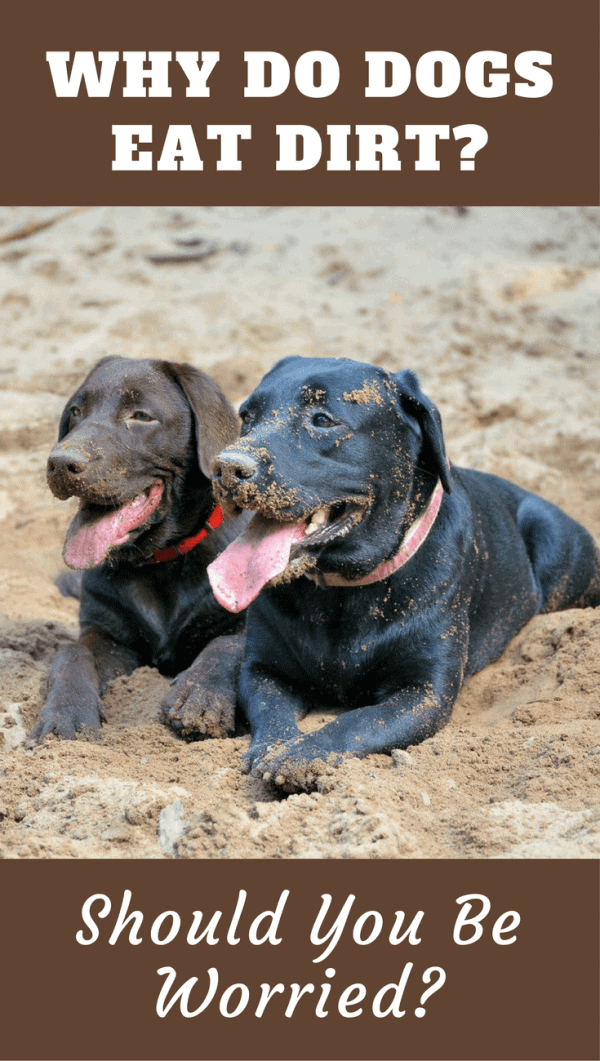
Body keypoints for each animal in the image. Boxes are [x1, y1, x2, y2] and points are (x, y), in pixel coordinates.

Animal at [31, 356, 248, 746]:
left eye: (141, 416)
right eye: (76, 411)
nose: (60, 462)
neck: (161, 563)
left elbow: (228, 645)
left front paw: (200, 697)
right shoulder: (108, 635)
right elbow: (71, 651)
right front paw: (66, 715)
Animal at [208, 356, 600, 789]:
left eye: (323, 420)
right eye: (247, 417)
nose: (226, 468)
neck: (342, 591)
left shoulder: (424, 691)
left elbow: (358, 720)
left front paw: (303, 754)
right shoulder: (263, 670)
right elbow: (272, 712)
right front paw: (273, 748)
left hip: (554, 541)